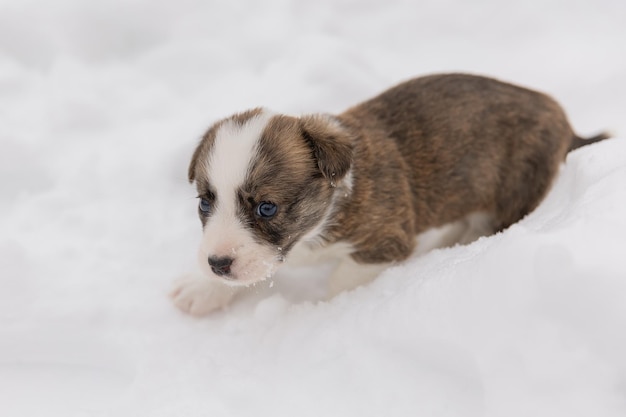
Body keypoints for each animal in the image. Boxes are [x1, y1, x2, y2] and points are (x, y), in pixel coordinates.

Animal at [168, 74, 608, 316]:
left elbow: (340, 280)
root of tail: (563, 119)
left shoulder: (385, 242)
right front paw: (203, 288)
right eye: (205, 202)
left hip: (515, 193)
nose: (217, 264)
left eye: (266, 207)